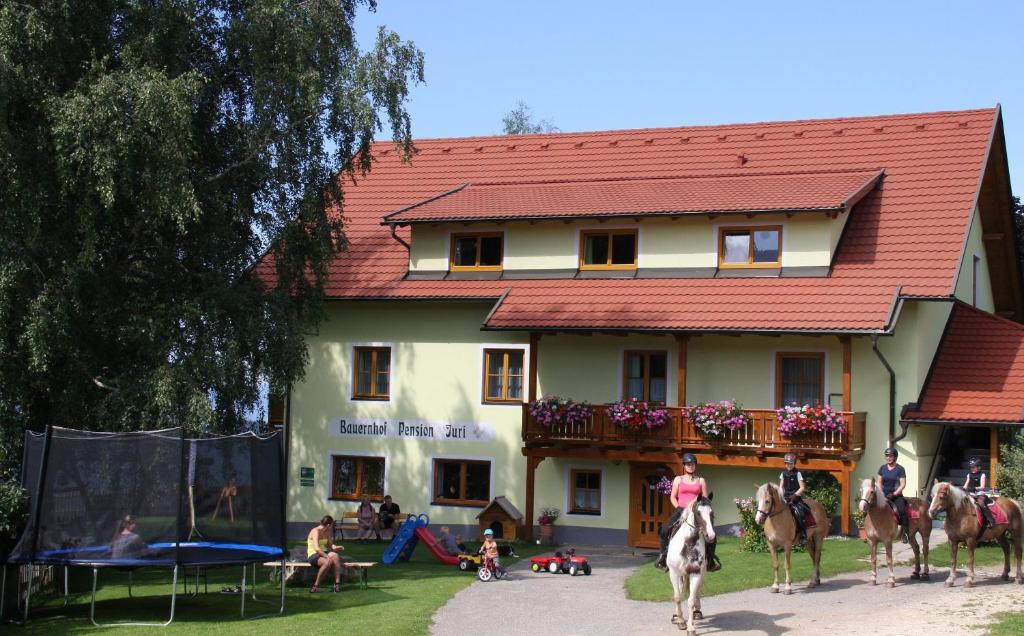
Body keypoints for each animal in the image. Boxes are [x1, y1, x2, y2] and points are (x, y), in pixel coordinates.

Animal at [667, 495, 716, 634]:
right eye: (698, 513)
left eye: (712, 513)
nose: (711, 536)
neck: (689, 544)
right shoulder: (674, 573)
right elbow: (677, 597)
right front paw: (680, 622)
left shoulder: (696, 572)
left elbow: (691, 600)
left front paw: (690, 627)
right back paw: (676, 616)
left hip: (701, 573)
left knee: (697, 592)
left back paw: (697, 613)